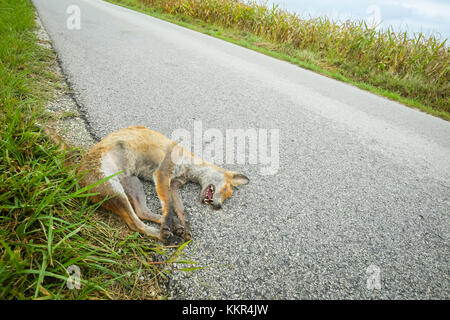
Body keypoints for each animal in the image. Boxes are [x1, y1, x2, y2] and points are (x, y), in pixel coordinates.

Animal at [75, 125, 248, 242]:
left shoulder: (174, 185)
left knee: (142, 212)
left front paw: (185, 227)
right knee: (135, 224)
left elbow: (181, 211)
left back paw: (175, 226)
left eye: (227, 196)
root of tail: (76, 179)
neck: (188, 167)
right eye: (226, 190)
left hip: (133, 184)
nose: (219, 206)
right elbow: (169, 206)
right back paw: (163, 234)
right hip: (116, 191)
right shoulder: (162, 174)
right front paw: (167, 224)